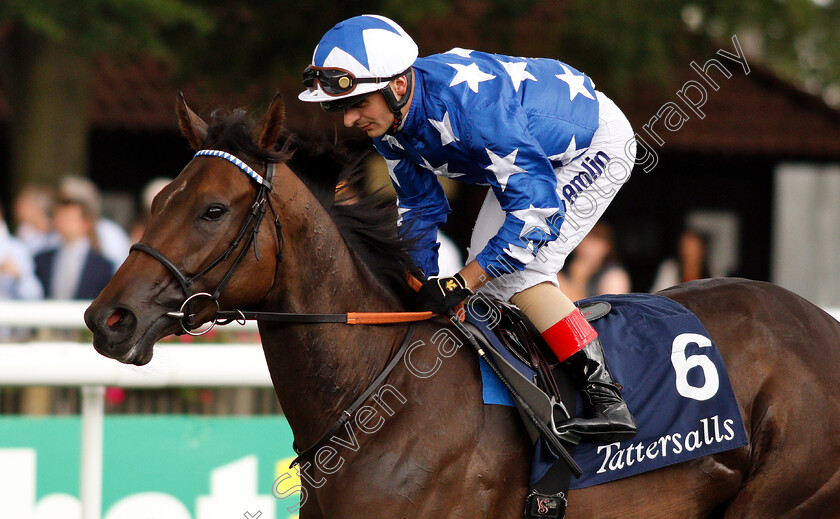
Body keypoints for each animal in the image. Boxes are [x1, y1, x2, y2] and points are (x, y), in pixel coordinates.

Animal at [83, 94, 840, 519]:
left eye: (212, 209)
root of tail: (821, 325)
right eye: (159, 199)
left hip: (782, 497)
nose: (107, 319)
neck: (378, 393)